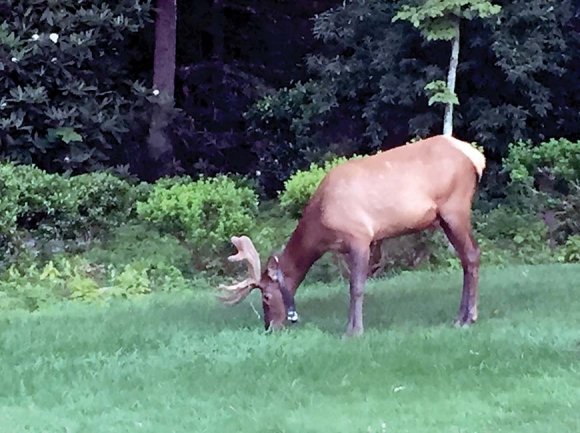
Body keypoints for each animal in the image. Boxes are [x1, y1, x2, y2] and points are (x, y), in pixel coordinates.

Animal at [218, 134, 484, 334]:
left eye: (265, 296)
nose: (269, 327)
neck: (321, 227)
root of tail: (476, 157)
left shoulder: (360, 236)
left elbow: (356, 287)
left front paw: (353, 331)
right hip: (445, 217)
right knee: (466, 258)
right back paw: (460, 317)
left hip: (455, 207)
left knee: (472, 254)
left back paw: (468, 319)